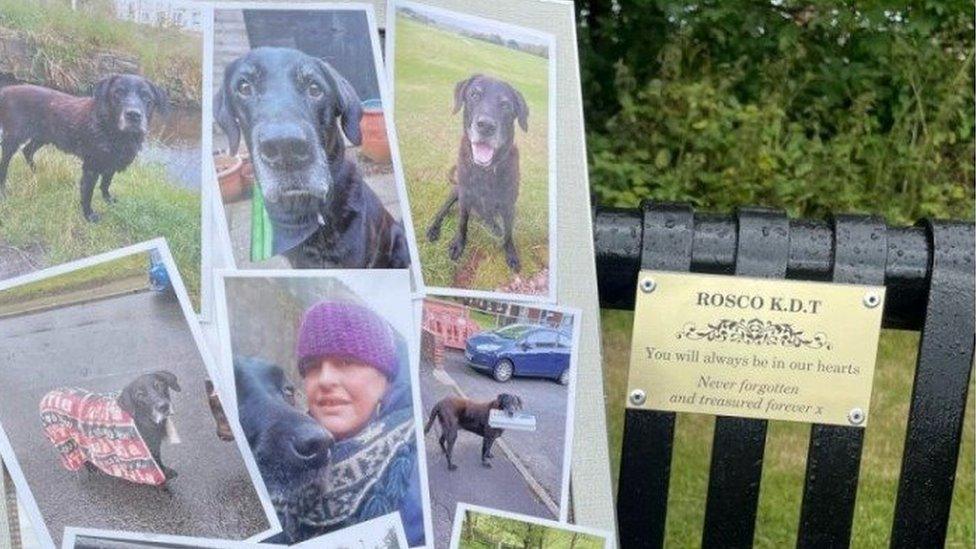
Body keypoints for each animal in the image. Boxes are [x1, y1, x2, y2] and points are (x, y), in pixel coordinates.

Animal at [0, 74, 168, 222]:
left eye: (147, 97)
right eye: (118, 93)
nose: (133, 115)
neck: (112, 131)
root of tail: (6, 91)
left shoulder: (111, 164)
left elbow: (106, 183)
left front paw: (108, 199)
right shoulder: (91, 167)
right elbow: (88, 193)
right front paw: (89, 215)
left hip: (43, 136)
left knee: (27, 150)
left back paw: (36, 171)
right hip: (12, 140)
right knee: (5, 164)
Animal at [428, 75, 528, 272]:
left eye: (506, 105)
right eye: (474, 94)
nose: (486, 125)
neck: (485, 171)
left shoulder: (508, 205)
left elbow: (508, 233)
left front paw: (511, 254)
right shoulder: (465, 197)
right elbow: (462, 224)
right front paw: (458, 245)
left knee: (489, 217)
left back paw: (493, 225)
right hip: (455, 191)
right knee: (442, 211)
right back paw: (434, 228)